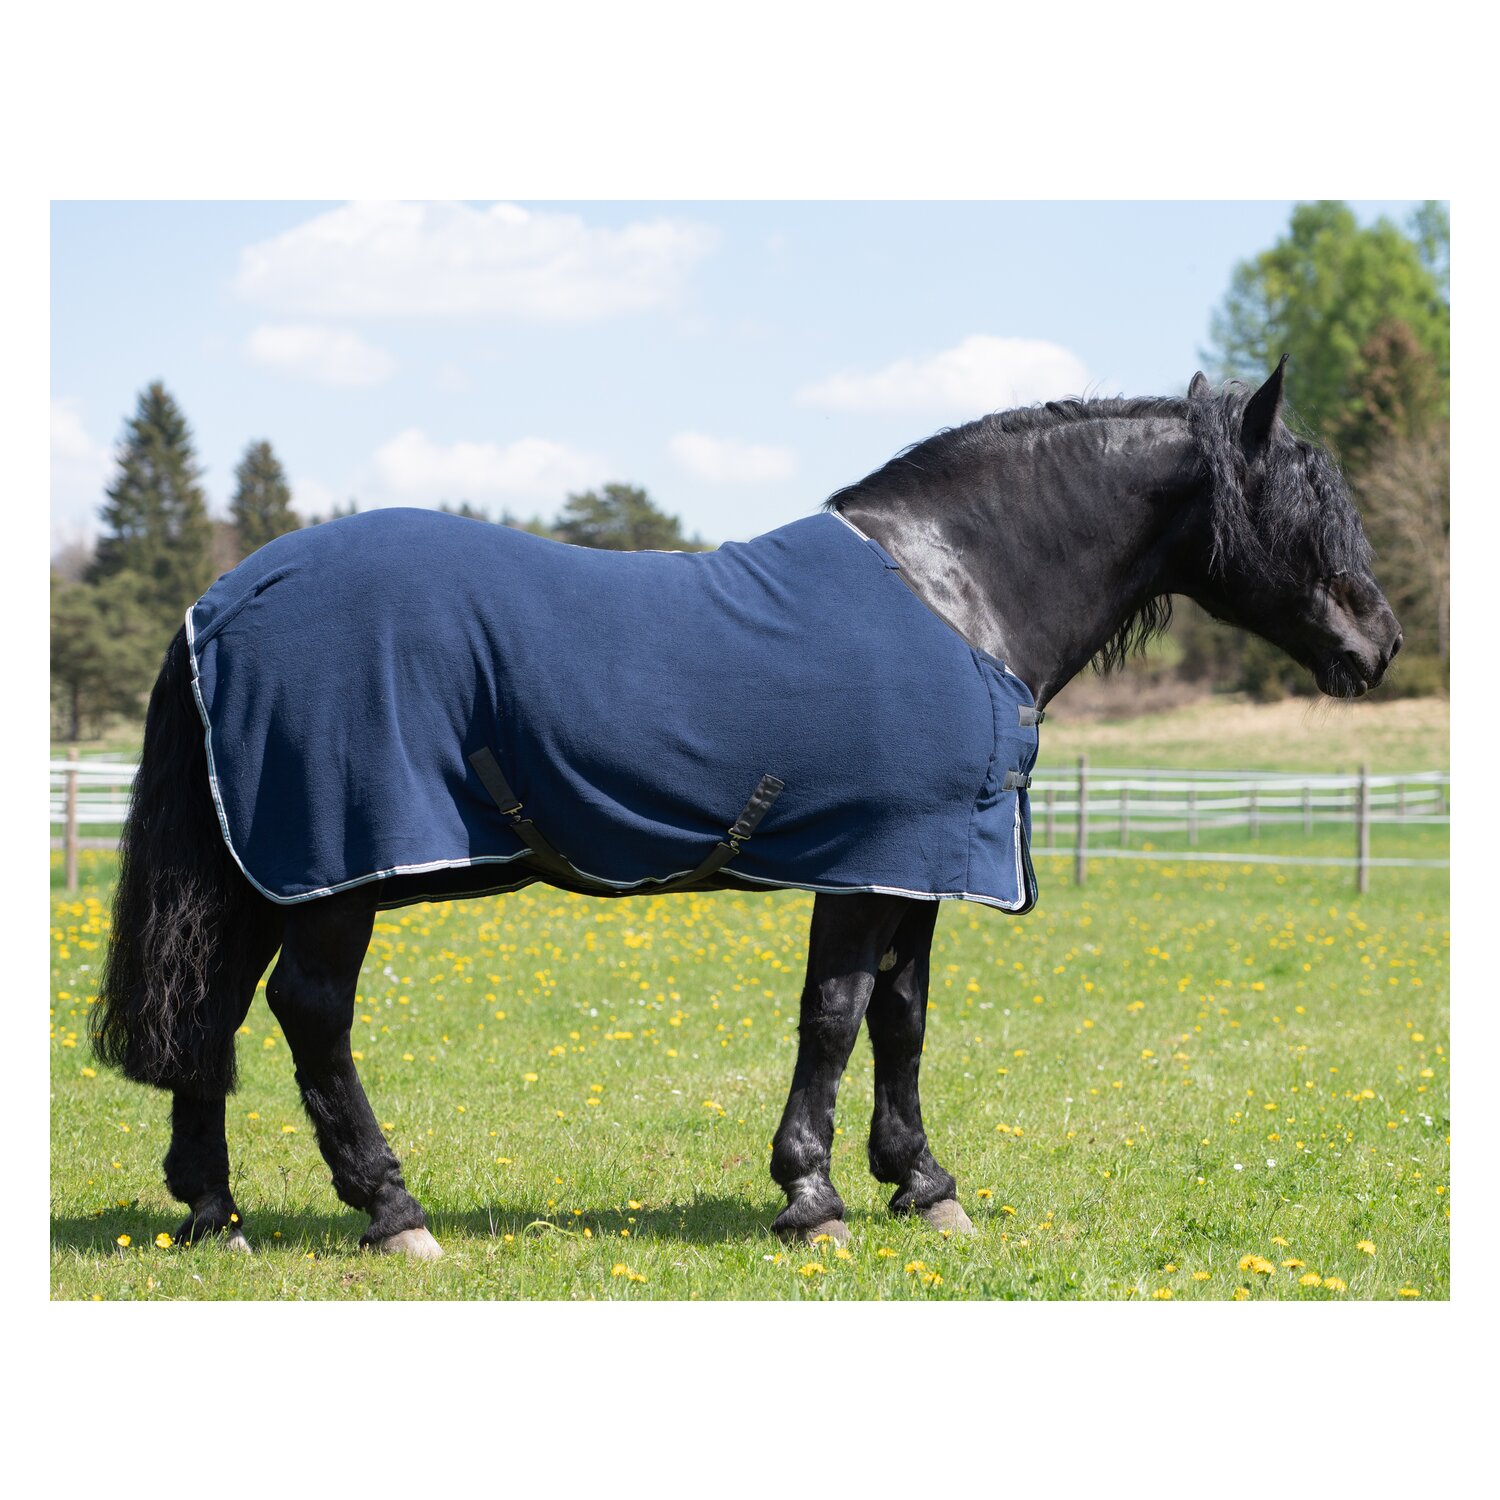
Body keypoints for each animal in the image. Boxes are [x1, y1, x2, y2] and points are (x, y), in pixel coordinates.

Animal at [92, 360, 1403, 1259]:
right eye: (1304, 506)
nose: (1378, 642)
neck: (958, 586)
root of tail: (225, 598)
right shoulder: (869, 866)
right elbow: (835, 1017)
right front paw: (813, 1199)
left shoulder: (923, 868)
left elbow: (902, 1023)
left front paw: (925, 1188)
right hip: (336, 871)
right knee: (310, 1016)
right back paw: (391, 1210)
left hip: (267, 865)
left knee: (211, 1014)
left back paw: (214, 1214)